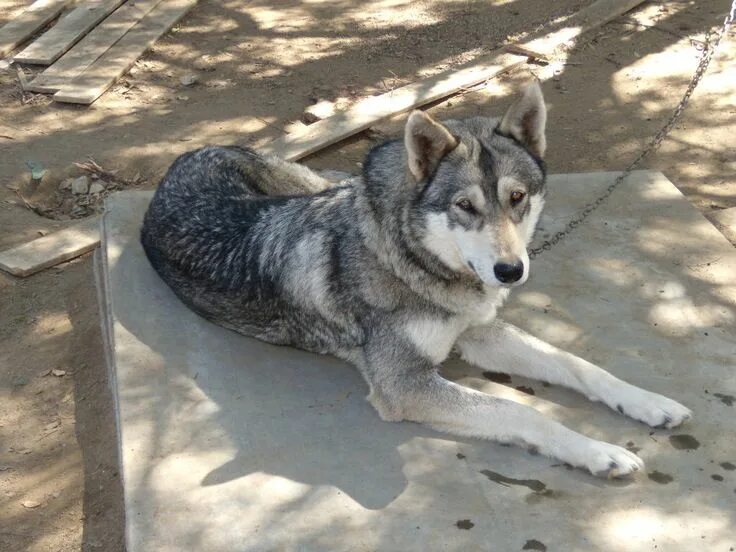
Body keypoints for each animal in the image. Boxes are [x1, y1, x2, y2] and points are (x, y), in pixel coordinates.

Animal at [140, 82, 691, 478]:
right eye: (464, 206)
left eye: (517, 198)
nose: (510, 271)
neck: (415, 263)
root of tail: (185, 156)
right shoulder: (406, 385)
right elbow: (522, 413)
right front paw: (598, 451)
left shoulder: (478, 334)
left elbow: (577, 364)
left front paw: (647, 402)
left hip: (314, 186)